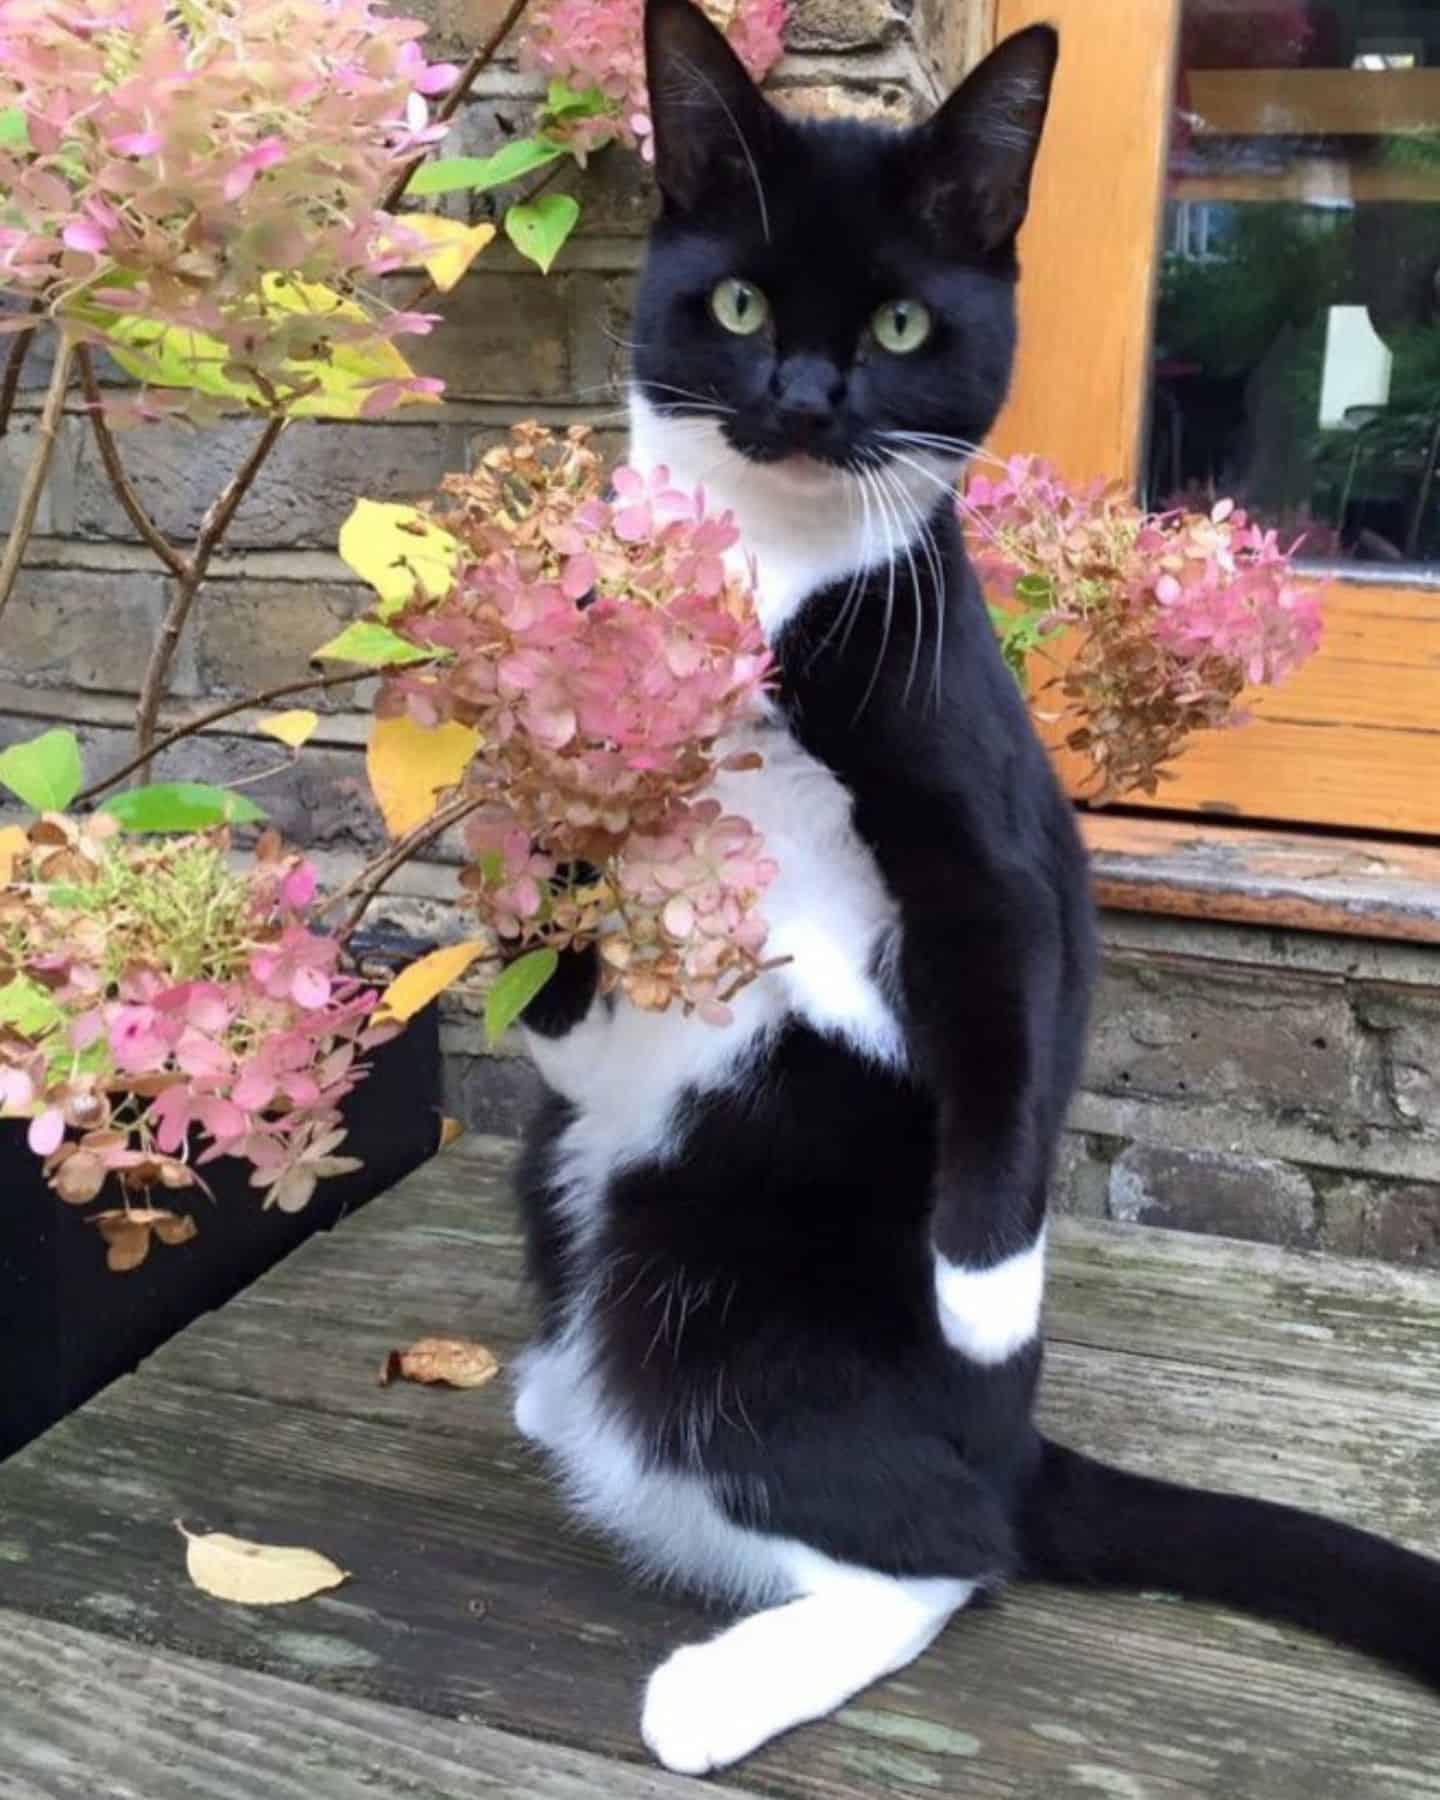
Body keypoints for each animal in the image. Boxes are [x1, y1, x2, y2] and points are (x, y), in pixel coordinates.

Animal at [507, 0, 1440, 1771]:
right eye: (736, 303)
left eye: (897, 321)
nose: (806, 400)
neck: (770, 578)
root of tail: (1018, 1458)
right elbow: (542, 905)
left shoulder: (985, 817)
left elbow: (1016, 1002)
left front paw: (994, 1292)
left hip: (730, 1303)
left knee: (951, 1553)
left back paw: (730, 1679)